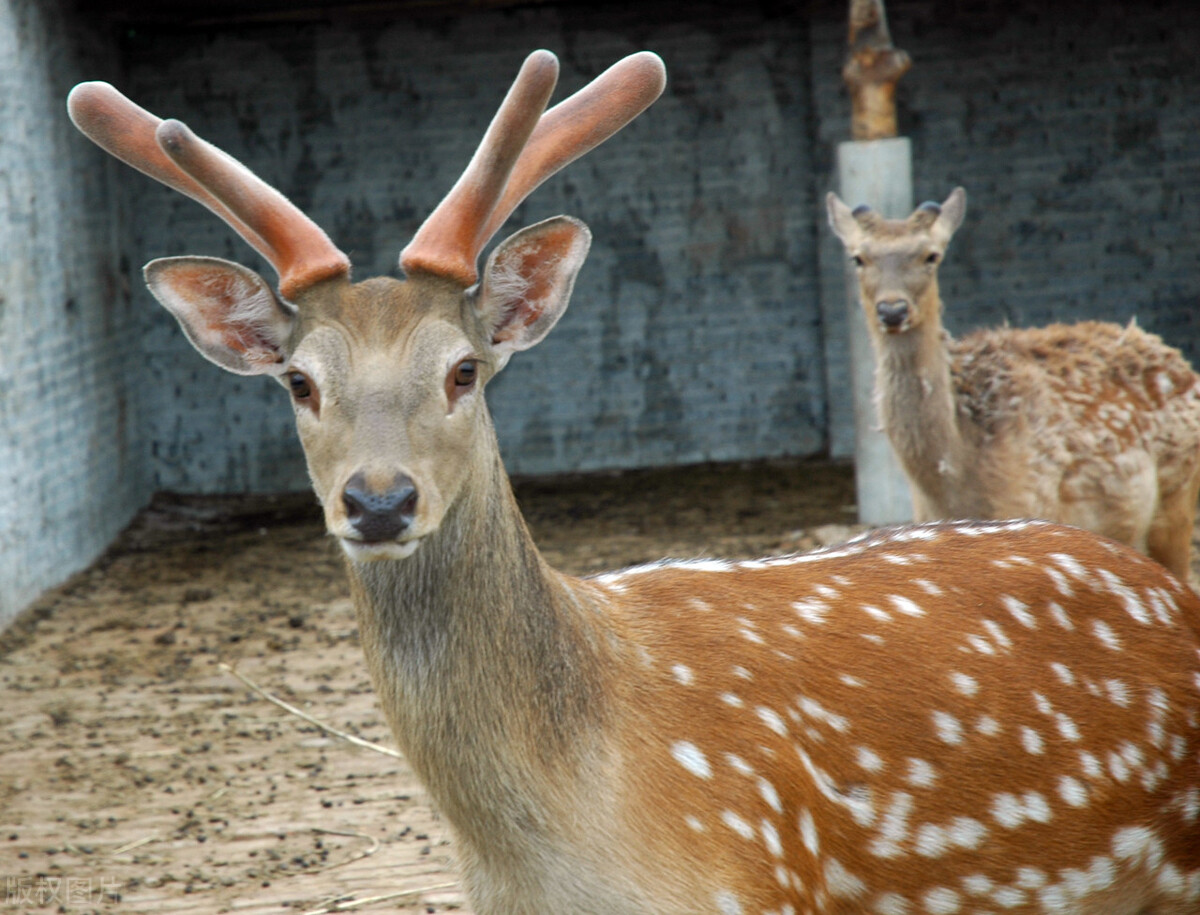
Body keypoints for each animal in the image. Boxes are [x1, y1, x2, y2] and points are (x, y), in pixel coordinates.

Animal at [830, 188, 1200, 581]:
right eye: (858, 257)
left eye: (931, 255)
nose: (893, 311)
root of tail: (1179, 360)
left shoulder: (1030, 503)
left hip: (1178, 496)